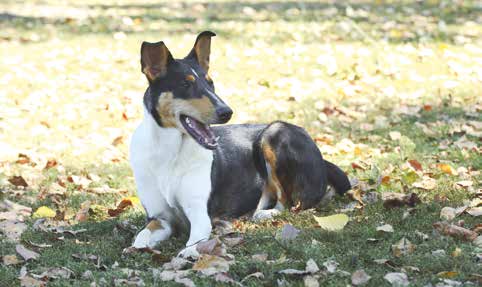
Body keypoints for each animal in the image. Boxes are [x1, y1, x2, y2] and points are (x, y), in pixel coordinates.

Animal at [130, 31, 352, 258]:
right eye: (185, 84)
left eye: (210, 83)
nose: (226, 112)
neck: (170, 152)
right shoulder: (160, 218)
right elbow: (141, 236)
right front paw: (136, 247)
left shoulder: (200, 214)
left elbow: (194, 240)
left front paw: (189, 252)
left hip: (273, 133)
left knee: (291, 202)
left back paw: (265, 214)